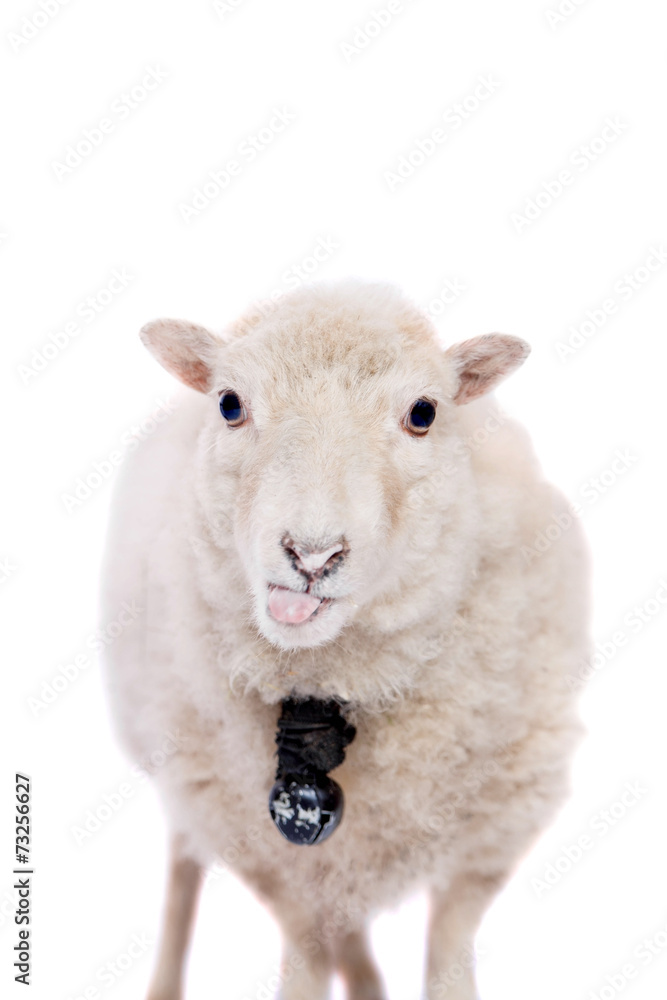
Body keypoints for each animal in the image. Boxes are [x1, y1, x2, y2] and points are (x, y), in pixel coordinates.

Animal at [100, 279, 591, 1000]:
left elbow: (446, 952)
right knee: (187, 869)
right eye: (229, 403)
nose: (311, 554)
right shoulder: (276, 867)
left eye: (423, 412)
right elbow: (304, 958)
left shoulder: (484, 846)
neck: (328, 682)